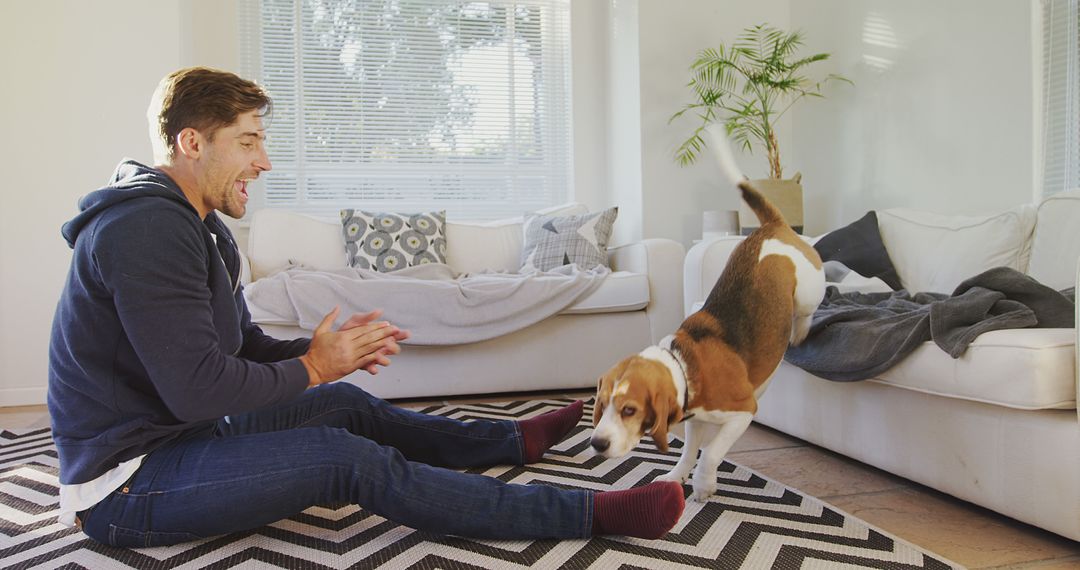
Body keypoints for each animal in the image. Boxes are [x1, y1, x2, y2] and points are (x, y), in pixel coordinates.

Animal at [596, 180, 820, 500]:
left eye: (629, 410)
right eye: (601, 405)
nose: (596, 443)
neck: (684, 363)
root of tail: (771, 227)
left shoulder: (743, 413)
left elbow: (711, 452)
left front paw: (703, 484)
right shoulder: (695, 419)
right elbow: (690, 452)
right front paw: (675, 476)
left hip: (809, 289)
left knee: (808, 306)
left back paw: (801, 329)